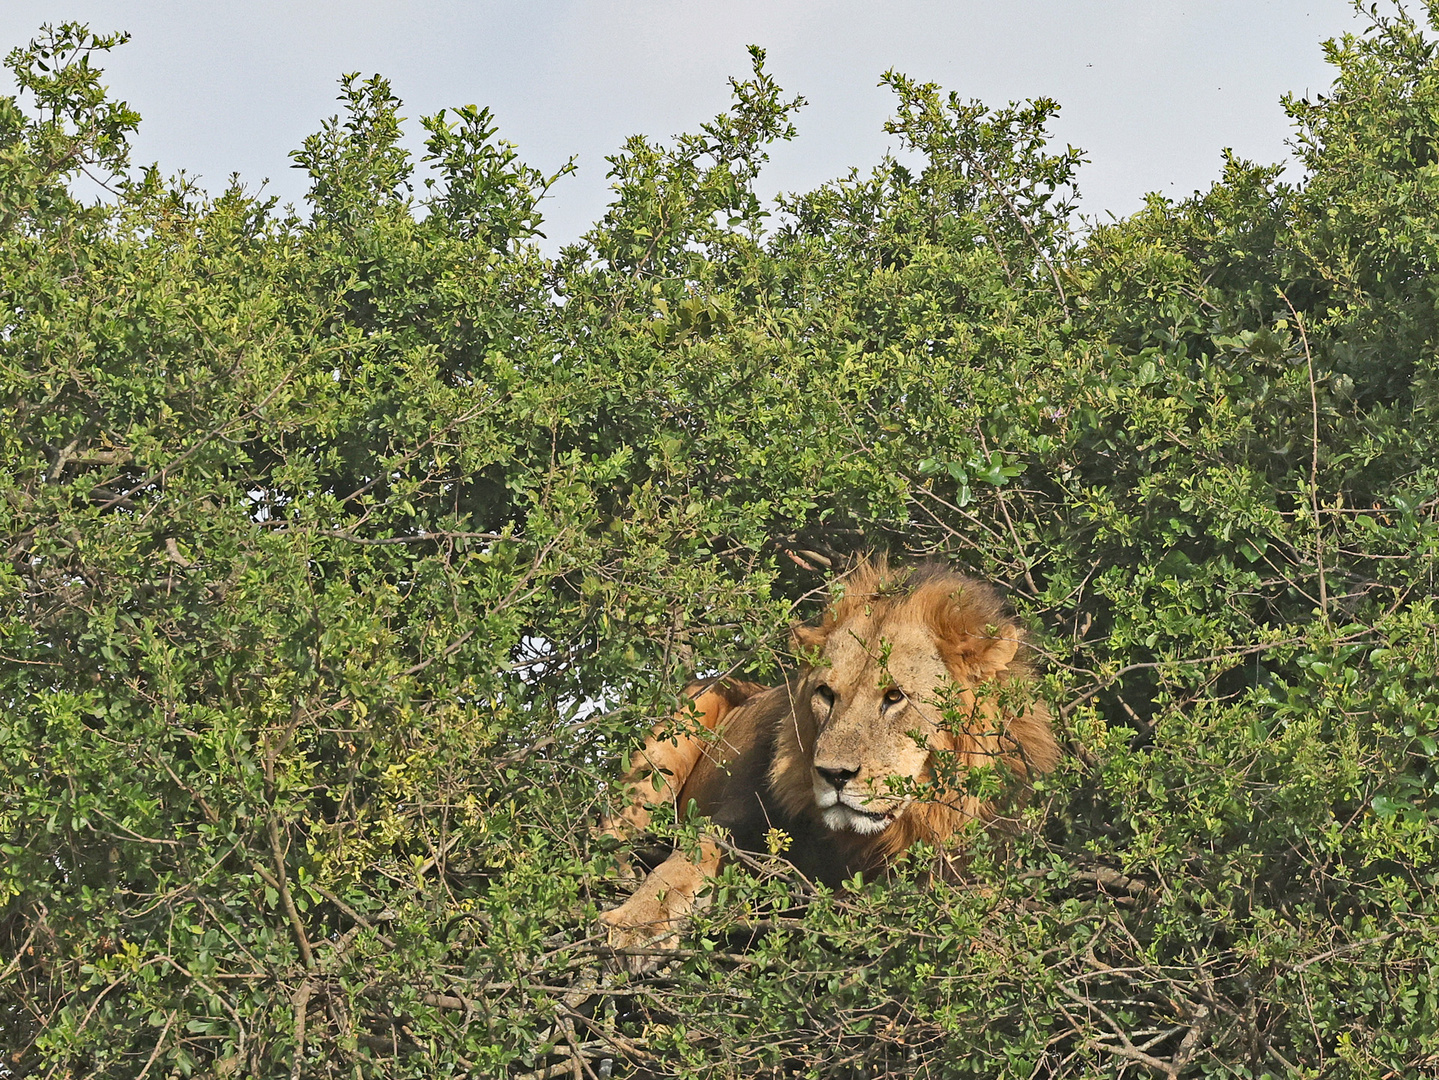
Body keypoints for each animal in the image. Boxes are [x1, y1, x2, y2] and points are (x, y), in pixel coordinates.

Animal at [595, 557, 1059, 960]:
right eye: (825, 694)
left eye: (895, 697)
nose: (834, 775)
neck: (868, 840)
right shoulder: (744, 822)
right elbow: (685, 863)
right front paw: (635, 922)